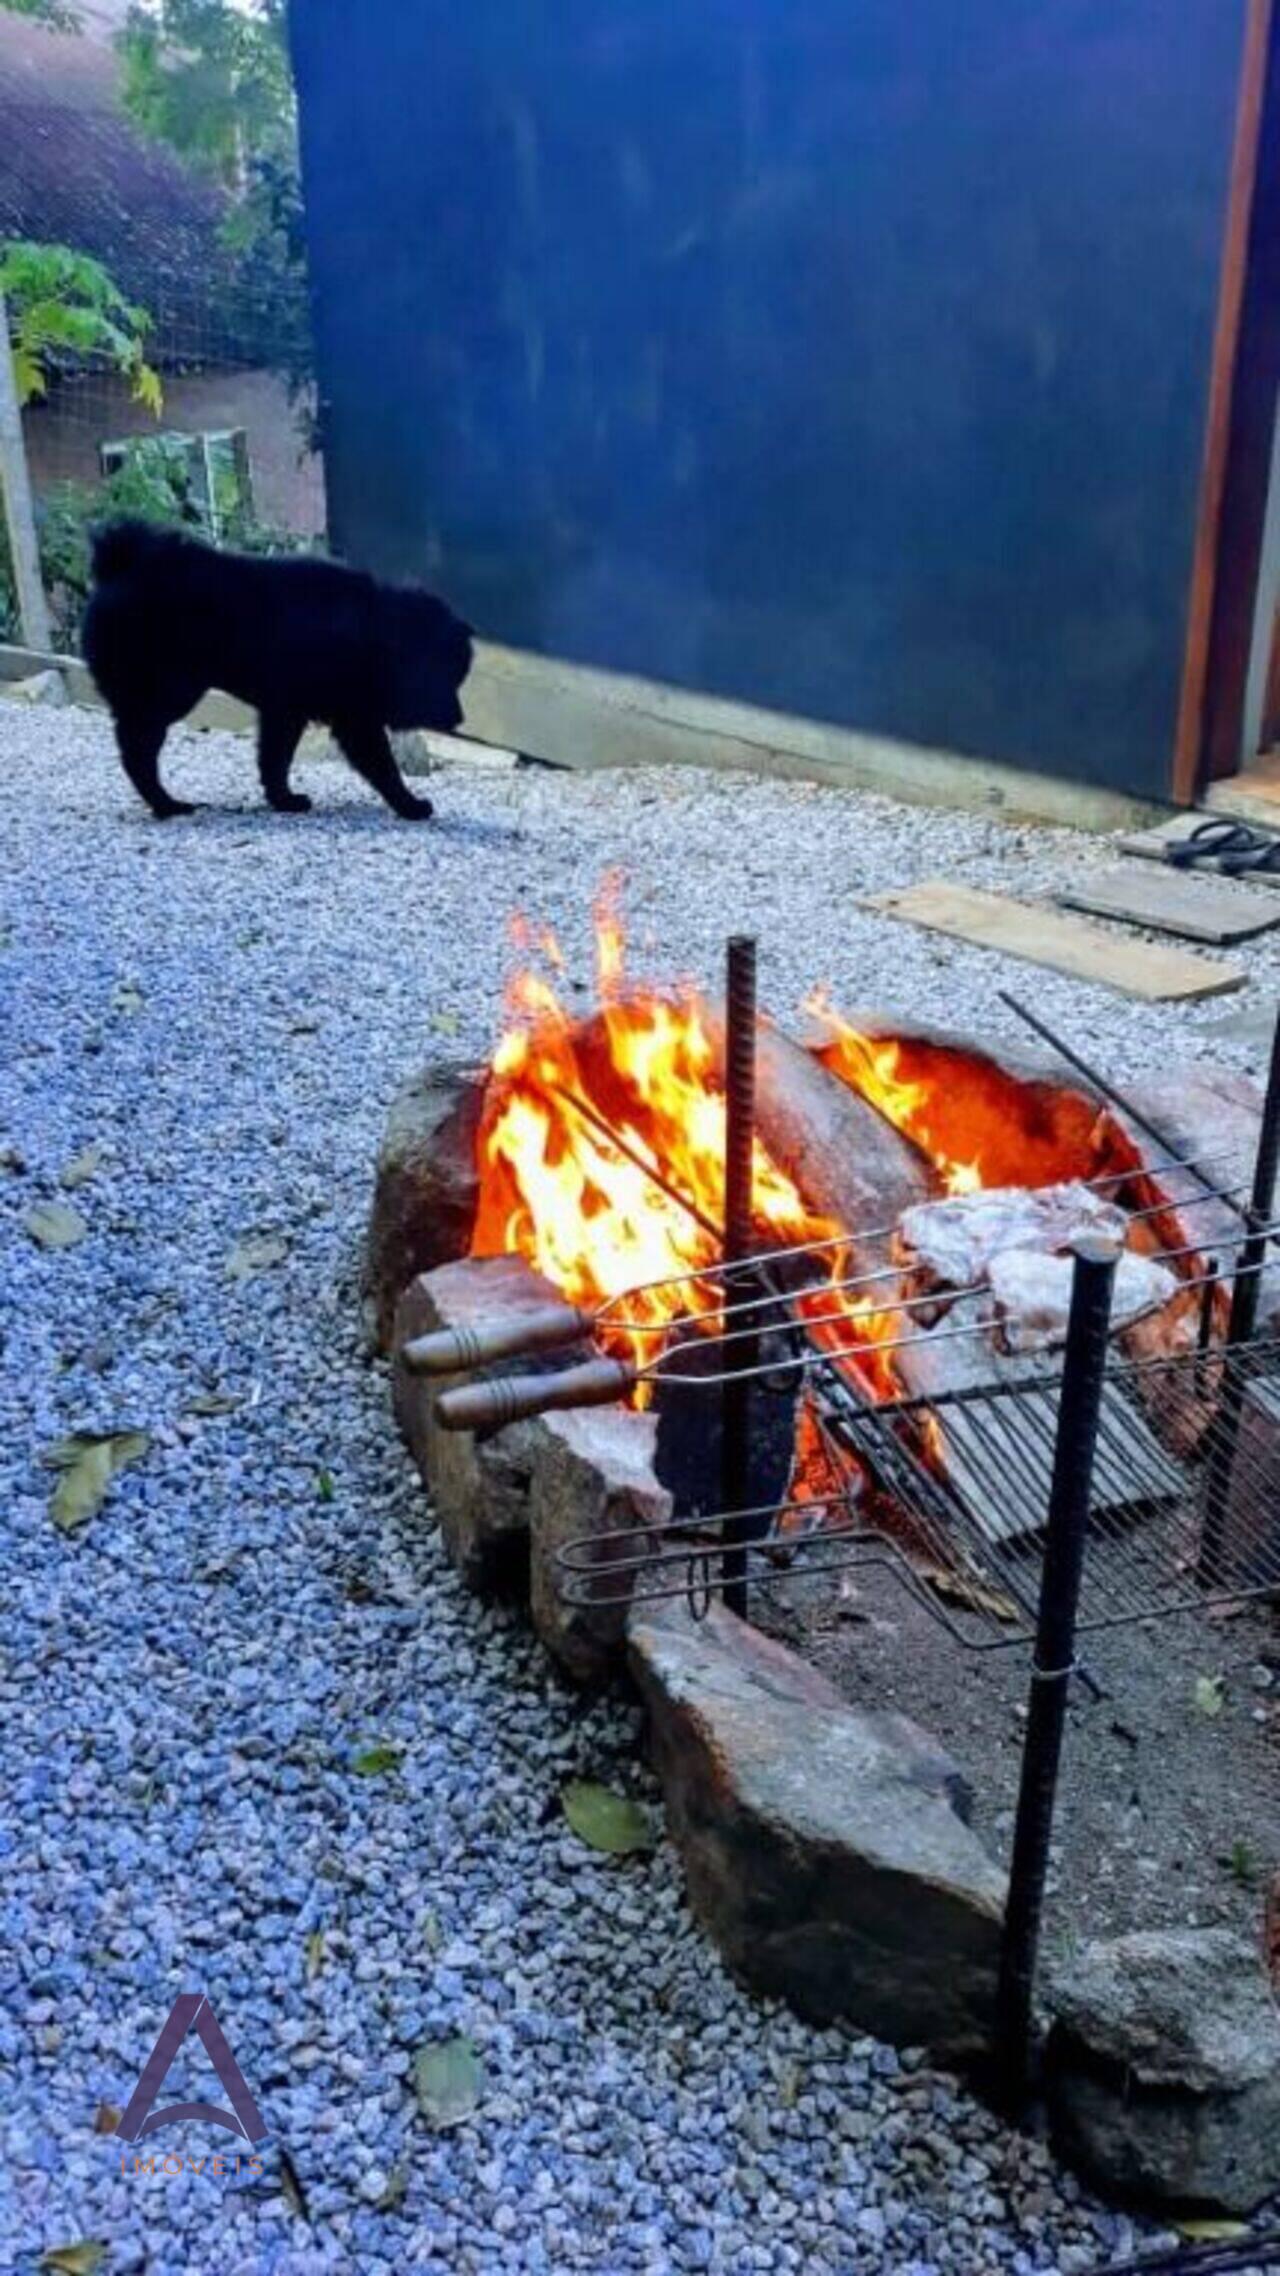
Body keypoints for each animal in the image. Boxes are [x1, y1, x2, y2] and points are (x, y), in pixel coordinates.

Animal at [83, 521, 473, 823]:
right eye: (447, 677)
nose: (460, 717)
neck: (374, 636)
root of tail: (119, 568)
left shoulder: (285, 711)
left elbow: (274, 760)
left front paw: (283, 799)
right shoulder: (354, 721)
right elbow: (384, 768)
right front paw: (410, 805)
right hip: (169, 692)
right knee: (137, 751)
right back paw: (167, 805)